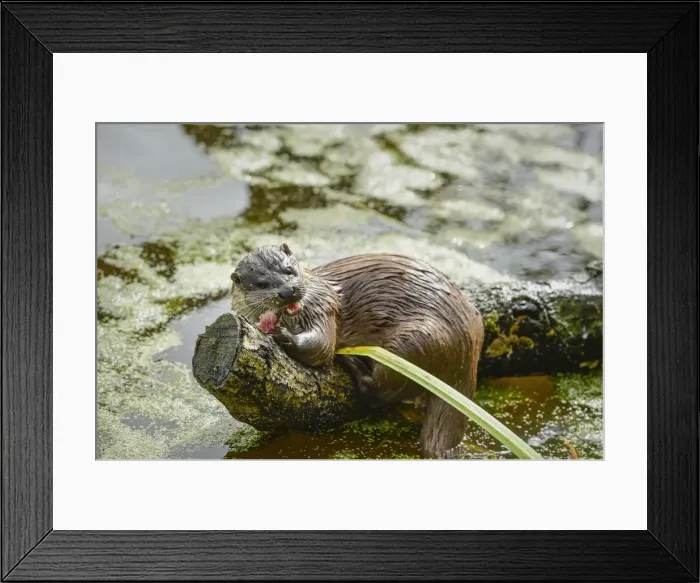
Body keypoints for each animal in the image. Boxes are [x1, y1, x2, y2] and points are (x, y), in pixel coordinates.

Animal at [230, 243, 485, 458]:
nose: (289, 291)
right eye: (262, 284)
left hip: (415, 341)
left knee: (382, 390)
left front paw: (281, 334)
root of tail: (468, 346)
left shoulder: (321, 306)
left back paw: (354, 363)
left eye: (289, 270)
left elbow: (321, 347)